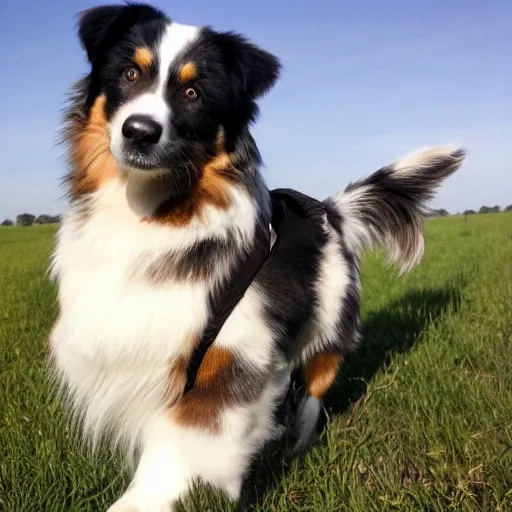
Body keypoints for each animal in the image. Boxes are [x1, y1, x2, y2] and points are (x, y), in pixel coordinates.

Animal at [49, 3, 468, 508]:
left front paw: (153, 497)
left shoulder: (234, 353)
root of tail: (331, 212)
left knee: (317, 383)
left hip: (328, 323)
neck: (156, 214)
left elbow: (186, 438)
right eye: (130, 73)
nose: (140, 132)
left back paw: (297, 439)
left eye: (193, 92)